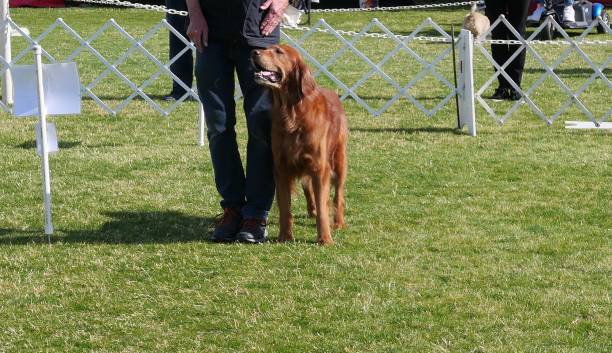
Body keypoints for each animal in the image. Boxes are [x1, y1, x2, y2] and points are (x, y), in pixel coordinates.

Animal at [253, 44, 350, 245]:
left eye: (278, 52)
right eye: (266, 48)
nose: (253, 52)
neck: (292, 113)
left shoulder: (320, 169)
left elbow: (323, 206)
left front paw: (325, 239)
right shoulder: (281, 168)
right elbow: (285, 208)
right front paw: (284, 237)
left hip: (339, 161)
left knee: (338, 195)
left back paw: (338, 222)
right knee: (308, 189)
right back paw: (312, 211)